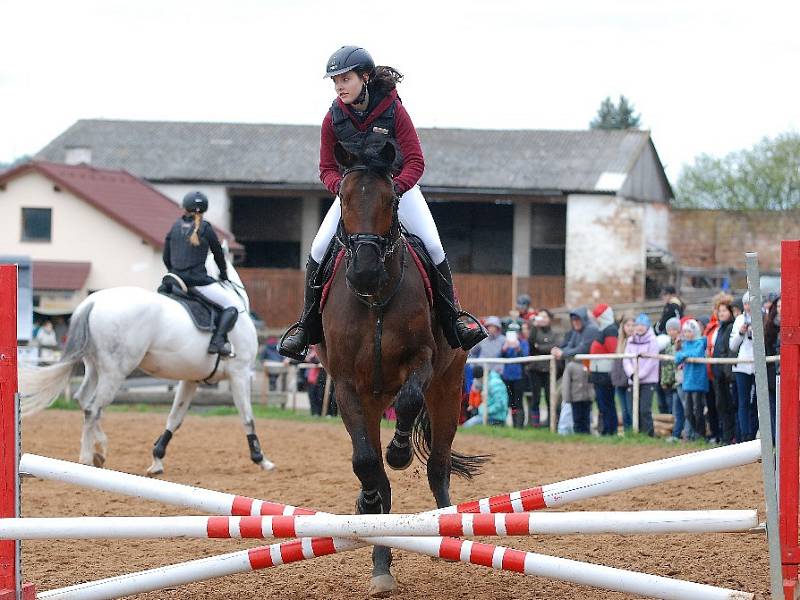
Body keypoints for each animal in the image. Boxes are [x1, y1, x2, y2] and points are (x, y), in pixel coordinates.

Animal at [316, 139, 484, 596]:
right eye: (342, 198)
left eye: (392, 200)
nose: (364, 271)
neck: (375, 298)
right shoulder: (346, 385)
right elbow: (365, 464)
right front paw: (370, 499)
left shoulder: (421, 362)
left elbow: (408, 403)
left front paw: (398, 452)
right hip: (373, 403)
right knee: (375, 468)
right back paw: (380, 557)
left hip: (448, 388)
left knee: (439, 464)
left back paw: (448, 529)